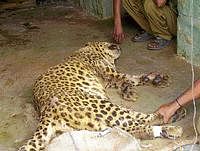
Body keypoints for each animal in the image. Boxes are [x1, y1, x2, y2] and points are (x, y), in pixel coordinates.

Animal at [18, 41, 186, 151]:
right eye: (109, 43)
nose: (118, 45)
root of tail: (45, 112)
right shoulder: (111, 73)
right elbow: (128, 77)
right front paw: (140, 86)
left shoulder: (110, 80)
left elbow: (133, 79)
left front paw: (154, 80)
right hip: (102, 105)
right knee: (136, 123)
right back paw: (172, 121)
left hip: (94, 122)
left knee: (130, 126)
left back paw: (171, 122)